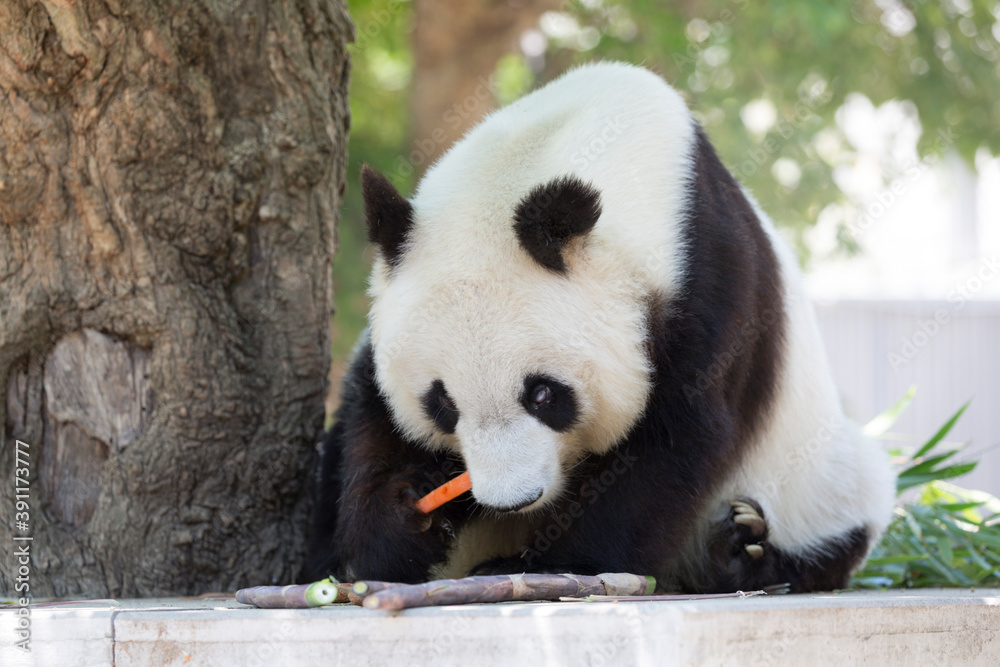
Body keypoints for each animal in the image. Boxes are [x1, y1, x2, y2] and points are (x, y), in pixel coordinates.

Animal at [308, 62, 896, 596]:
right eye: (442, 404)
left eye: (544, 394)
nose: (513, 500)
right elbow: (371, 418)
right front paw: (404, 518)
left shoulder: (707, 274)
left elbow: (674, 441)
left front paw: (544, 565)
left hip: (814, 474)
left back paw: (741, 552)